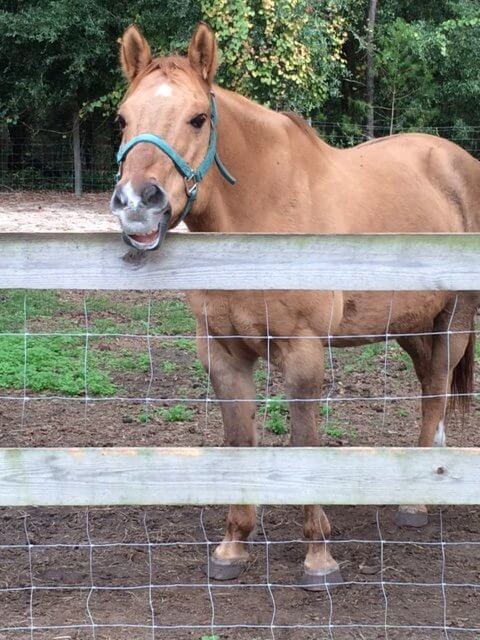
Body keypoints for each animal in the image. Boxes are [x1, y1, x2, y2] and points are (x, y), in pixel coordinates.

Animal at [110, 22, 480, 590]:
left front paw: (318, 555)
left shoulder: (303, 351)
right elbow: (241, 440)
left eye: (197, 118)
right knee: (427, 390)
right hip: (413, 324)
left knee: (436, 390)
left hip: (453, 322)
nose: (136, 205)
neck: (263, 214)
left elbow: (304, 439)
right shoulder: (223, 354)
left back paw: (415, 503)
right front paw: (233, 544)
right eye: (123, 118)